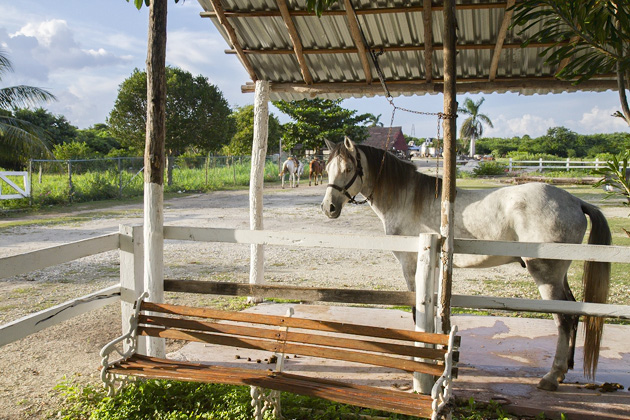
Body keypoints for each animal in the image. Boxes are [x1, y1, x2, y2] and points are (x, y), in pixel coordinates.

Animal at [320, 137, 612, 390]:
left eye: (348, 169)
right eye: (326, 169)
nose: (328, 208)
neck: (408, 199)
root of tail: (575, 201)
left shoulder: (411, 265)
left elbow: (417, 311)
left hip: (546, 275)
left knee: (563, 318)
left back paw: (552, 376)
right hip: (559, 275)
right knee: (573, 311)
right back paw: (564, 370)